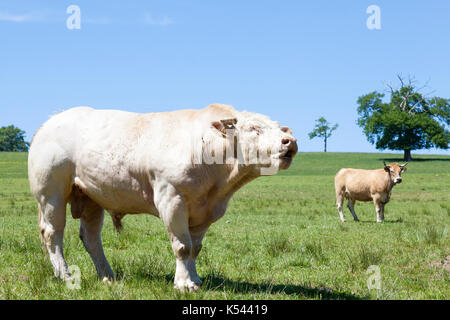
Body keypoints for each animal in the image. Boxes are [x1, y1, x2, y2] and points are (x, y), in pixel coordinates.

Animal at [27, 104, 296, 292]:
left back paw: (107, 276)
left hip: (92, 197)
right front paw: (184, 284)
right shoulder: (172, 198)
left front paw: (195, 279)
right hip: (51, 193)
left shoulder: (205, 209)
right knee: (52, 233)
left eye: (278, 127)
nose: (290, 141)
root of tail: (50, 121)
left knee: (91, 238)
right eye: (253, 128)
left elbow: (195, 247)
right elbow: (183, 246)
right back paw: (64, 275)